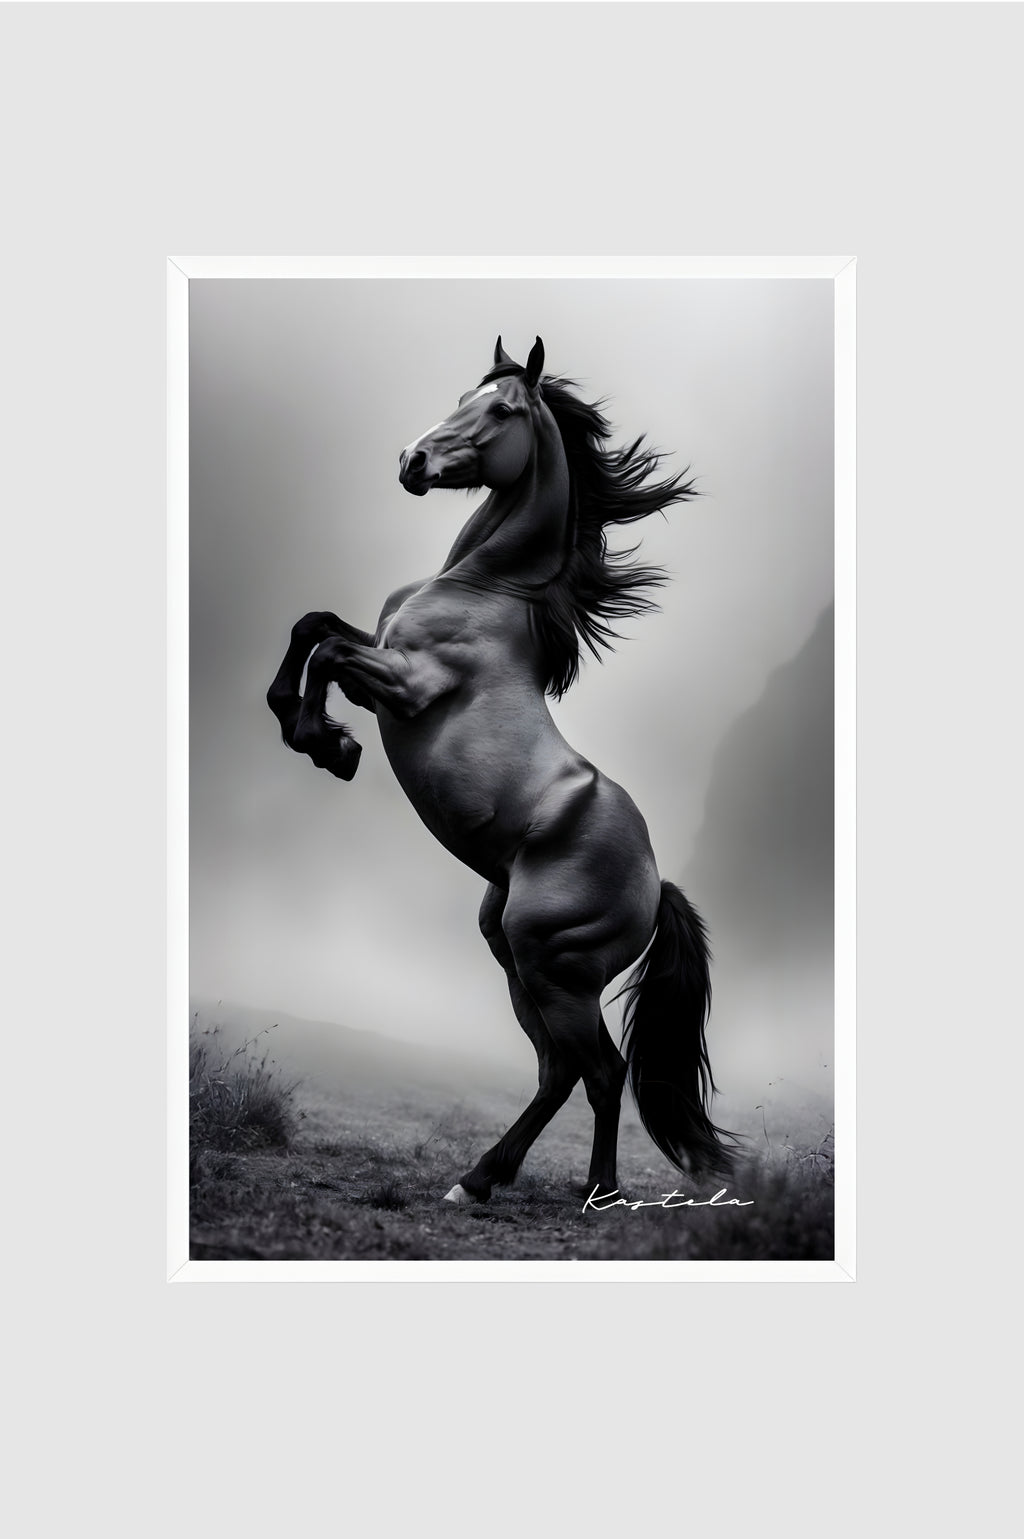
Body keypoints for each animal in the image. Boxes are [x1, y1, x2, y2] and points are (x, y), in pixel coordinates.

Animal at [267, 336, 736, 1204]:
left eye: (505, 411)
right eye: (463, 396)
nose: (412, 460)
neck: (489, 587)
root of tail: (655, 885)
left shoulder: (405, 683)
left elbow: (331, 648)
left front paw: (328, 744)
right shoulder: (381, 654)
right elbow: (315, 626)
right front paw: (304, 724)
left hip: (556, 967)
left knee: (601, 1071)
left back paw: (593, 1191)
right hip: (512, 956)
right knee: (559, 1071)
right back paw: (481, 1179)